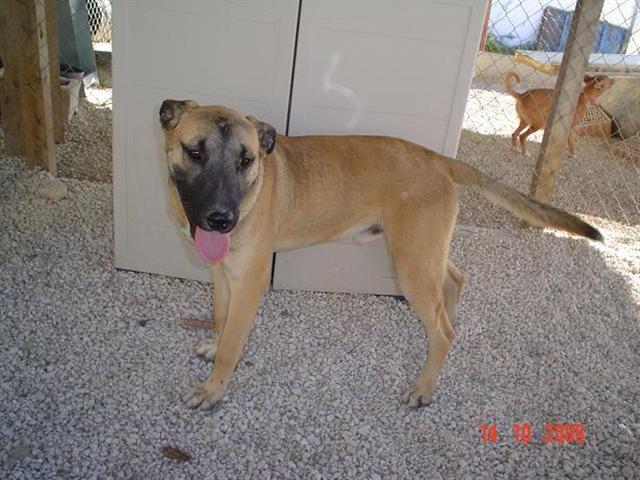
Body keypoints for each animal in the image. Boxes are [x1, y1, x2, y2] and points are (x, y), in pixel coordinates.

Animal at [159, 100, 602, 410]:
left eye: (246, 159)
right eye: (195, 152)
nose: (221, 219)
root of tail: (439, 159)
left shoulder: (249, 283)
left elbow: (233, 343)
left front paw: (213, 389)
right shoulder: (221, 273)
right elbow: (220, 318)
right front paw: (214, 344)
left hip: (410, 262)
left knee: (444, 329)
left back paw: (424, 385)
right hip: (423, 250)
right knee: (454, 281)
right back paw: (444, 323)